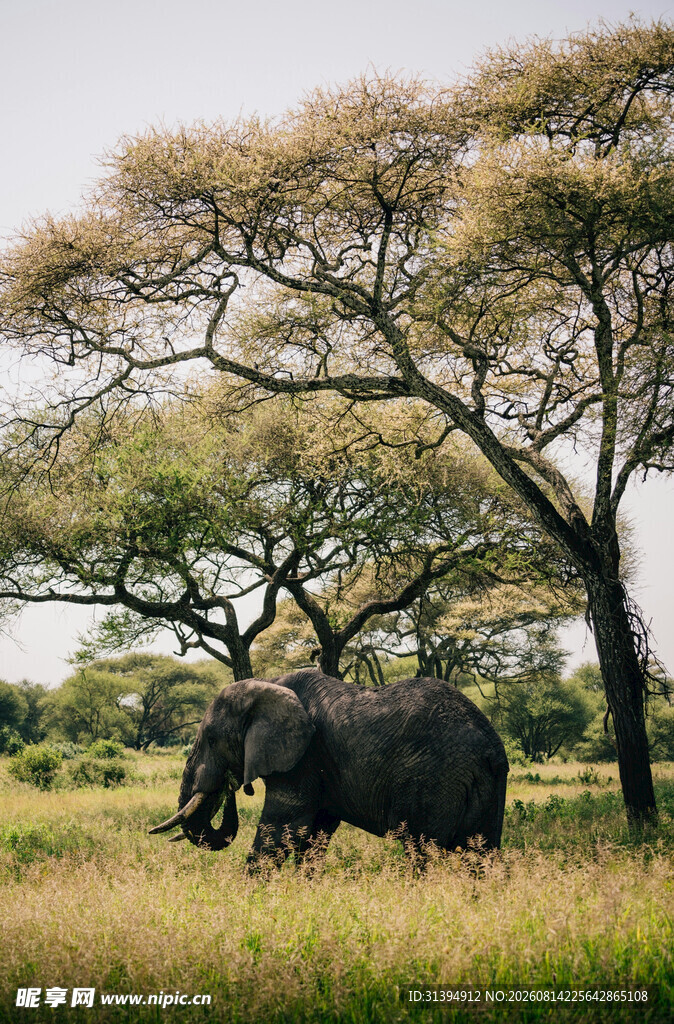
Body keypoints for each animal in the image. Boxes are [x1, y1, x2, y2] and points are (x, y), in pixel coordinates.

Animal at [150, 669, 509, 864]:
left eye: (211, 739)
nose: (231, 785)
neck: (269, 683)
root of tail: (488, 747)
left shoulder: (304, 757)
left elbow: (281, 829)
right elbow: (315, 834)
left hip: (433, 780)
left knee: (422, 851)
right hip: (487, 787)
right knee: (481, 853)